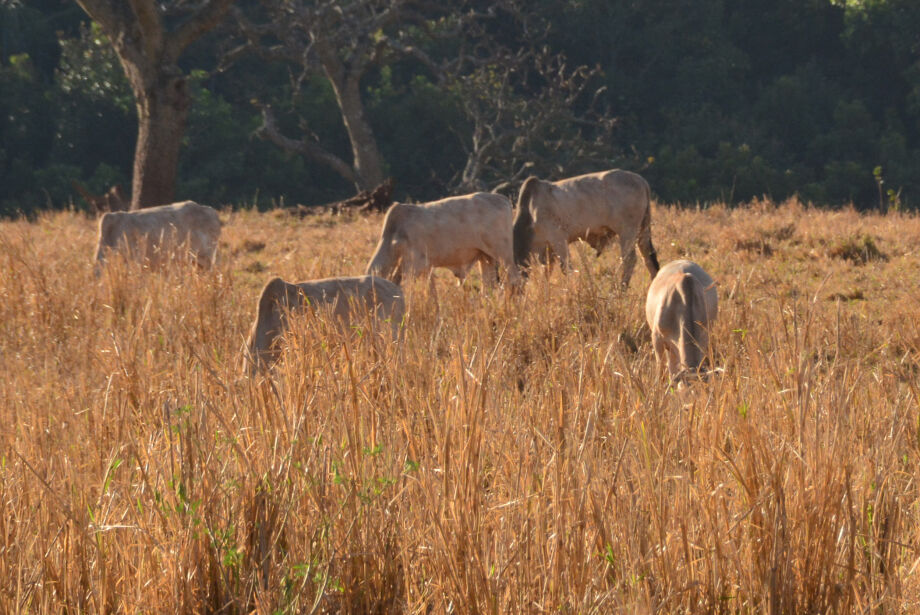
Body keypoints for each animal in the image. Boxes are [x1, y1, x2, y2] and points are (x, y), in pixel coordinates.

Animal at [366, 191, 524, 290]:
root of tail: (502, 198)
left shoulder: (415, 265)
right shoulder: (426, 268)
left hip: (503, 254)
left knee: (515, 281)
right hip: (485, 257)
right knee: (488, 286)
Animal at [512, 170, 656, 290]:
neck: (530, 212)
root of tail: (641, 181)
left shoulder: (558, 239)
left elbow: (566, 269)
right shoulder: (548, 250)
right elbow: (546, 273)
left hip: (627, 232)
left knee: (629, 260)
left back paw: (620, 290)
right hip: (642, 232)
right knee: (649, 259)